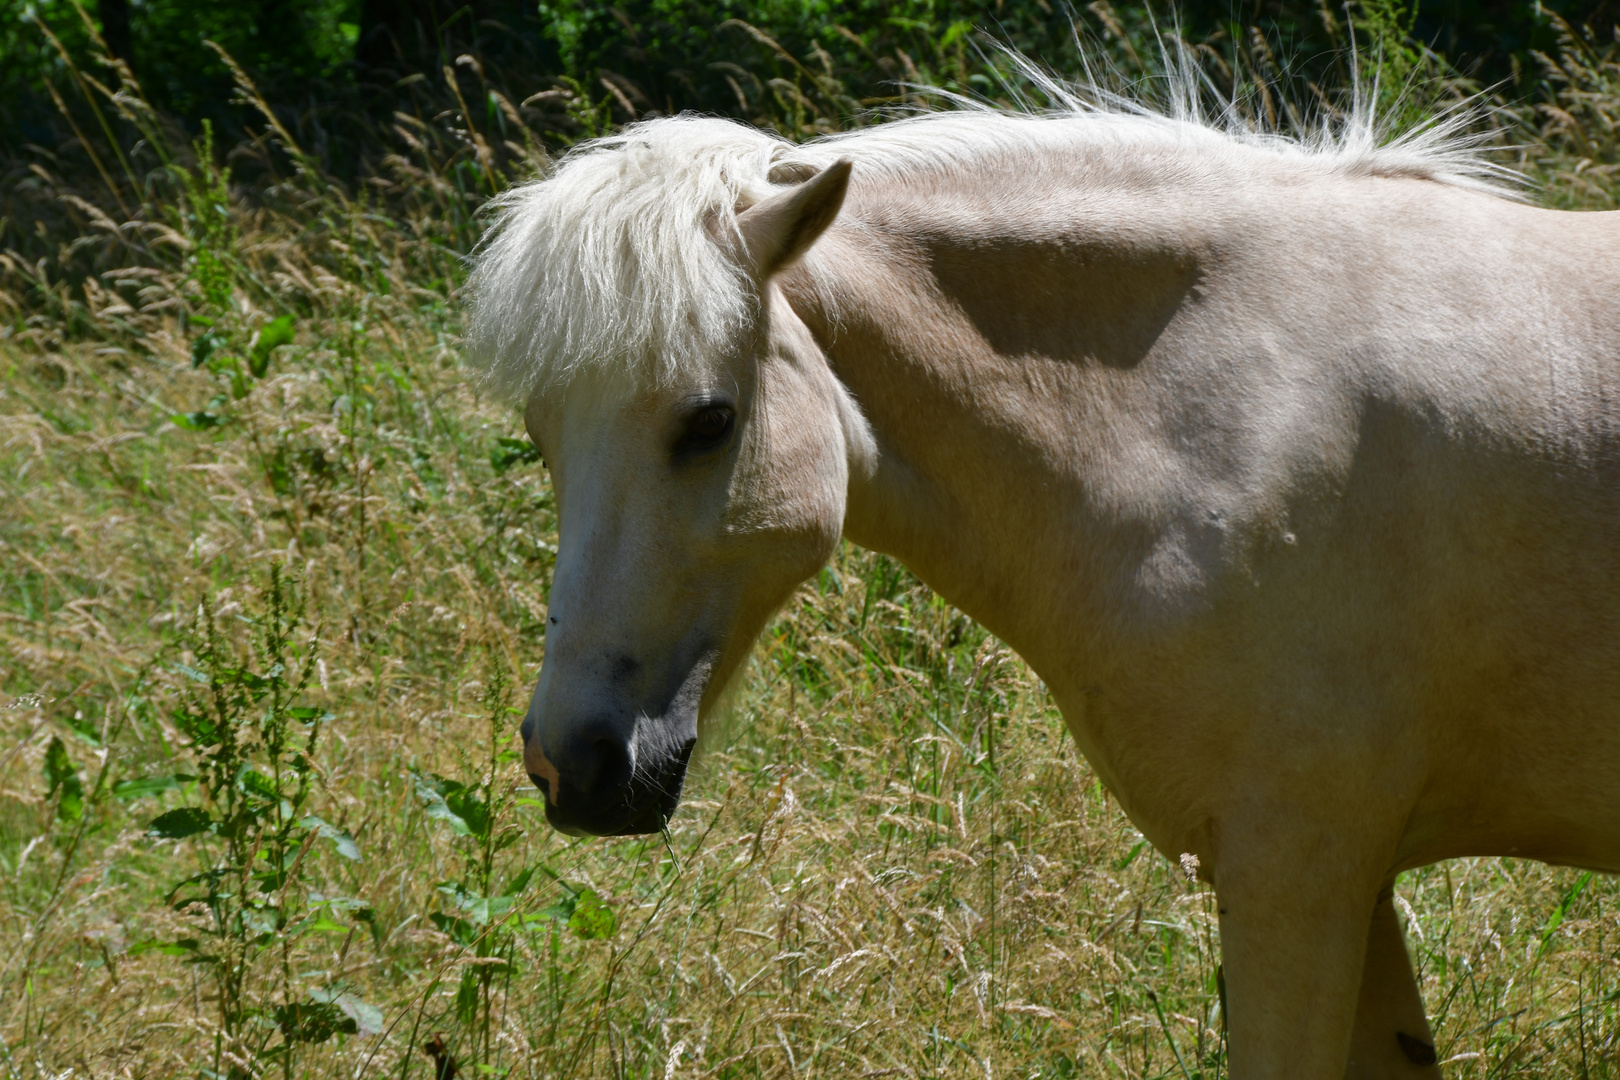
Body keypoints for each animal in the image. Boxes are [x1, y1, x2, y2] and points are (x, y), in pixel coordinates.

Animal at [466, 71, 1620, 1075]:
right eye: (543, 434)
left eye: (708, 422)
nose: (572, 764)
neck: (1227, 409)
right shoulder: (1349, 881)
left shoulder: (1299, 872)